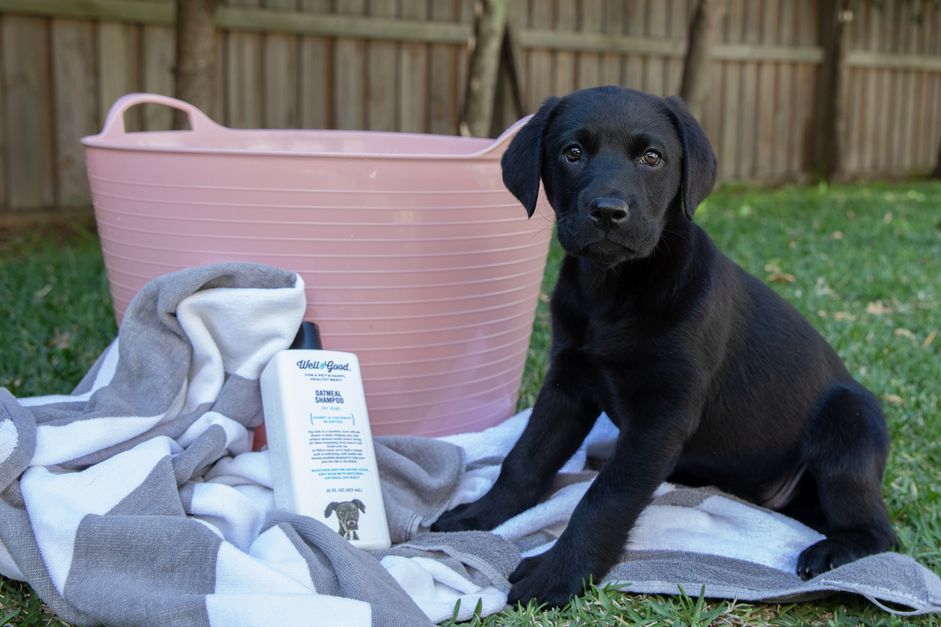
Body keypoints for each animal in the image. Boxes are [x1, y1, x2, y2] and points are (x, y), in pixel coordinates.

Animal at [430, 87, 892, 608]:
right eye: (573, 152)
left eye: (651, 158)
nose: (608, 211)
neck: (614, 290)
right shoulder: (567, 385)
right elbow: (525, 458)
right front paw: (479, 515)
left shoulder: (661, 417)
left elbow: (605, 499)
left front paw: (559, 573)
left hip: (851, 425)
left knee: (879, 530)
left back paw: (831, 552)